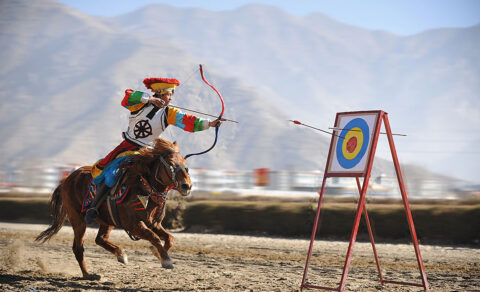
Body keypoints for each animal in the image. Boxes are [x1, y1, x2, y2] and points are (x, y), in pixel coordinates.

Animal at [35, 138, 191, 280]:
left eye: (185, 164)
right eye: (170, 164)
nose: (187, 185)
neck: (143, 187)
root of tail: (66, 180)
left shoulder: (154, 223)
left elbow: (169, 238)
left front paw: (157, 253)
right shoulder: (133, 225)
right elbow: (155, 237)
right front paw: (166, 260)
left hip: (107, 221)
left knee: (100, 239)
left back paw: (120, 255)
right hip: (77, 220)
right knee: (78, 248)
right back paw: (88, 274)